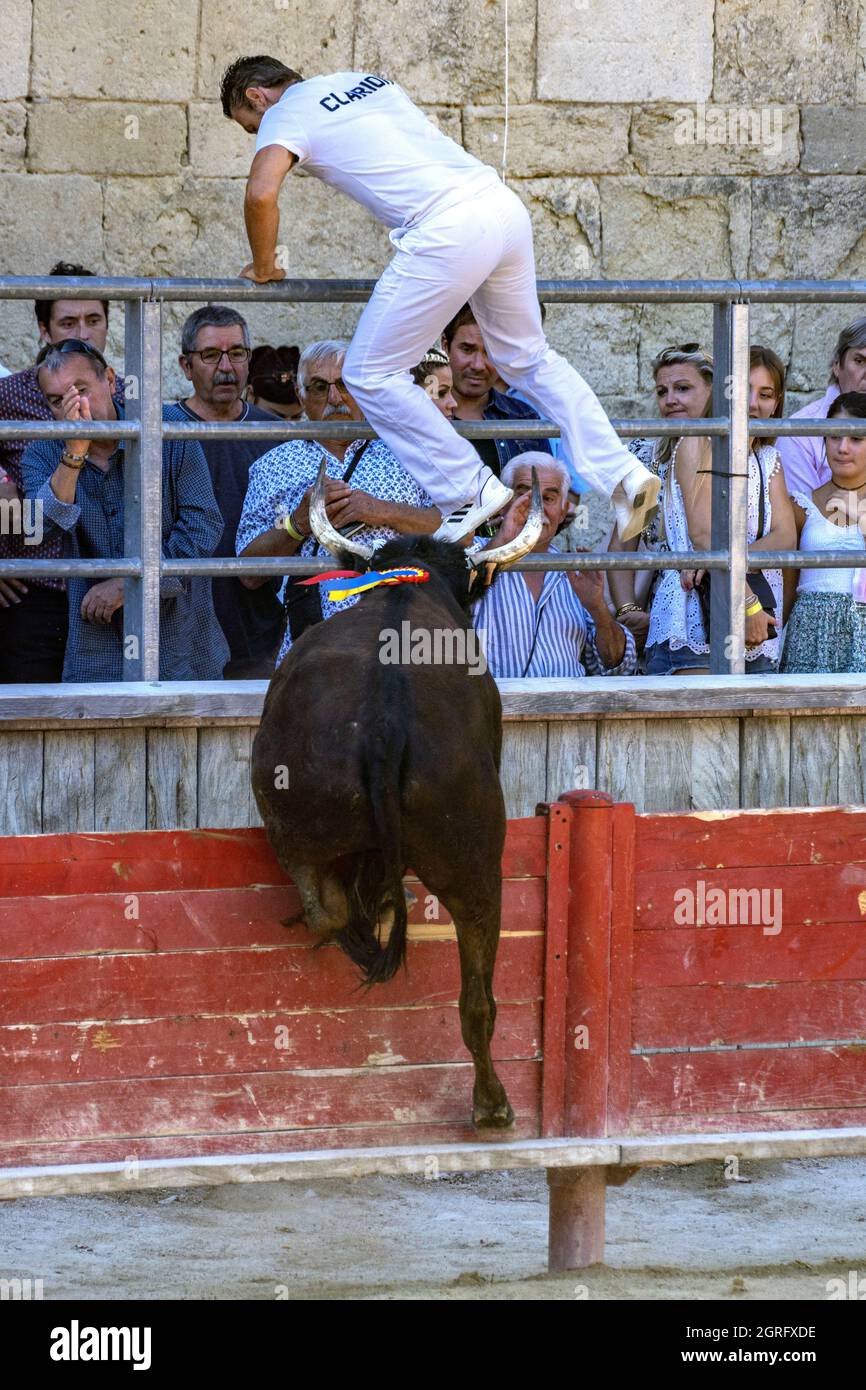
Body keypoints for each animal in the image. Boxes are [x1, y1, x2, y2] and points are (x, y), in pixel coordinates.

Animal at [254, 533, 517, 1128]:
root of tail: (384, 722)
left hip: (293, 815)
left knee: (325, 908)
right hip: (475, 862)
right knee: (476, 996)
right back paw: (492, 1104)